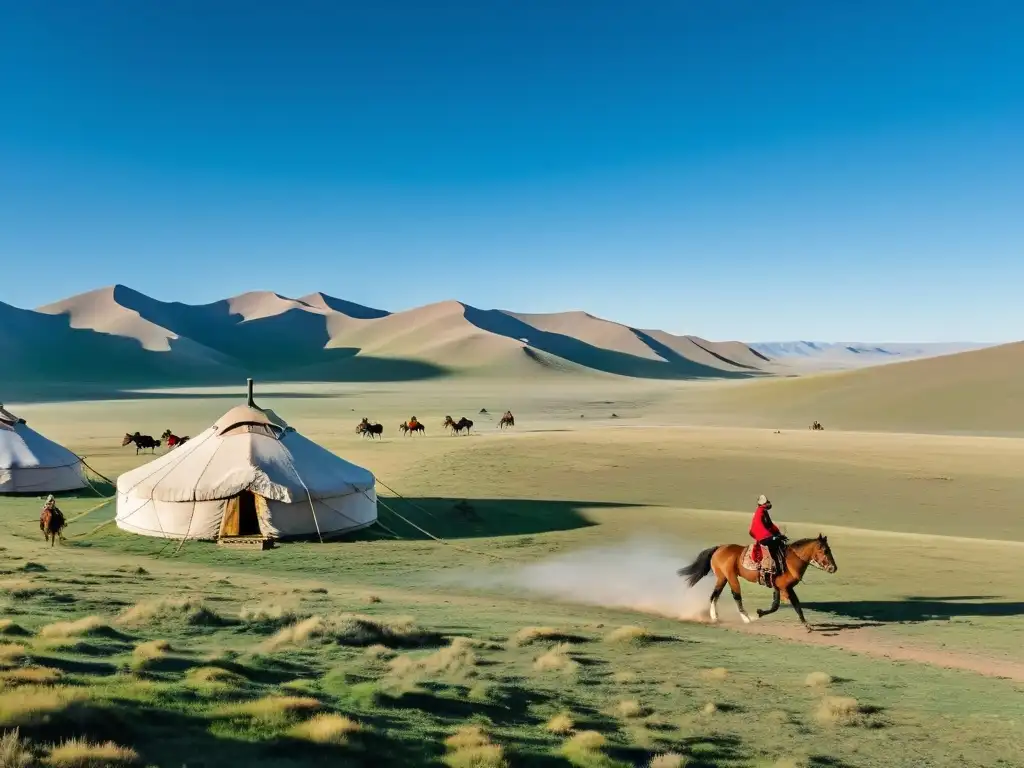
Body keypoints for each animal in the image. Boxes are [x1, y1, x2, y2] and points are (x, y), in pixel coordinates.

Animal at [675, 536, 835, 630]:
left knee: (714, 595)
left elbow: (784, 606)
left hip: (722, 578)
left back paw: (715, 616)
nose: (834, 568)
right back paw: (745, 618)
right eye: (825, 550)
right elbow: (788, 605)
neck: (790, 560)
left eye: (829, 549)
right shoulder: (785, 587)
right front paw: (757, 614)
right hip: (731, 577)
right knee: (736, 595)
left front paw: (806, 624)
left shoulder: (781, 587)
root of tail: (719, 548)